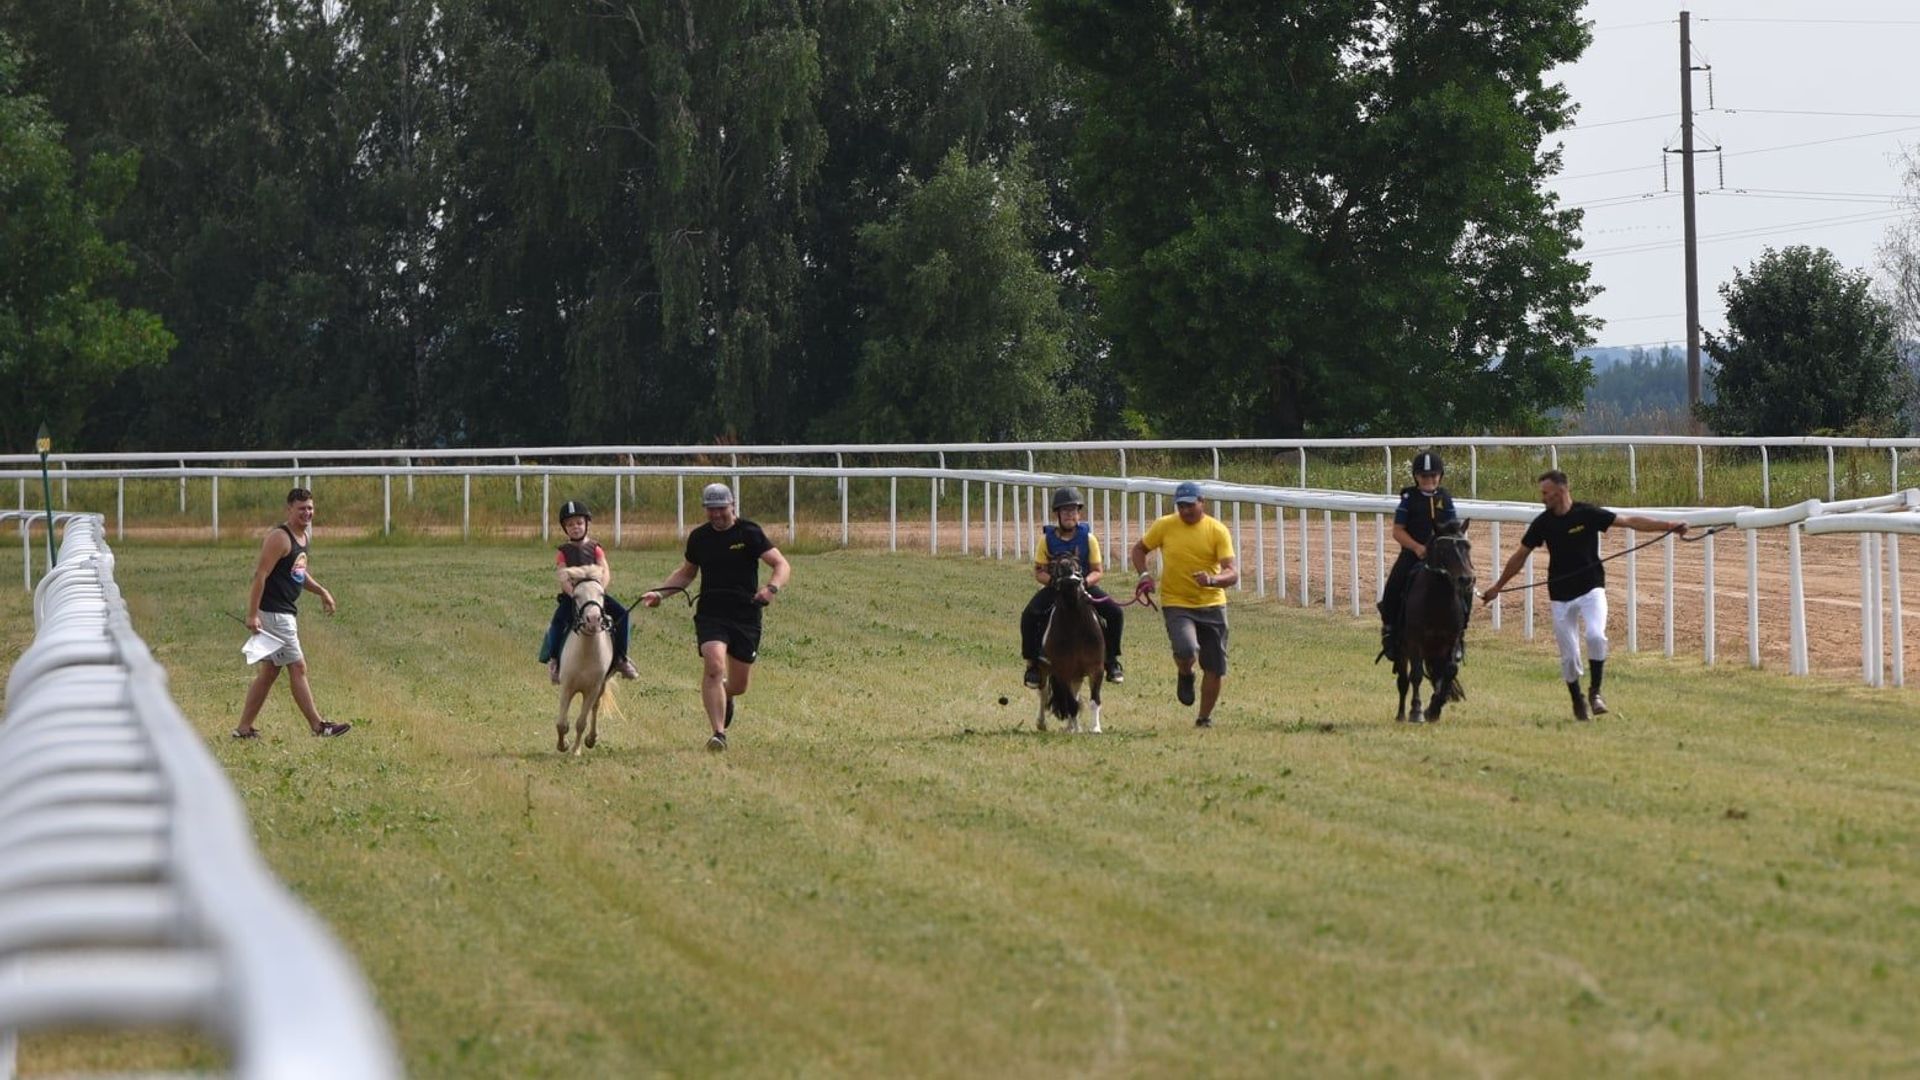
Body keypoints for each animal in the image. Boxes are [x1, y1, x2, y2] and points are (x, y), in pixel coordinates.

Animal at [556, 568, 614, 753]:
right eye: (576, 596)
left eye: (601, 594)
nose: (593, 619)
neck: (586, 654)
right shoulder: (567, 687)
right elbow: (562, 724)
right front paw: (563, 745)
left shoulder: (592, 690)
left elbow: (581, 723)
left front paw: (575, 750)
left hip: (601, 687)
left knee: (595, 708)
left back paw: (591, 739)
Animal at [1044, 553, 1105, 730]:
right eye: (1055, 567)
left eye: (1079, 567)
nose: (1072, 581)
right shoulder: (1062, 672)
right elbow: (1071, 704)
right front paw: (1076, 730)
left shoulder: (1096, 668)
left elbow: (1094, 700)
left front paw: (1096, 728)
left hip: (1077, 675)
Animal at [1390, 522, 1474, 722]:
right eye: (1443, 549)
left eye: (1467, 546)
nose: (1466, 579)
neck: (1438, 601)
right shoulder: (1415, 642)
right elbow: (1416, 675)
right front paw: (1417, 711)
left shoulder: (1451, 641)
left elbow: (1450, 670)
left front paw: (1434, 708)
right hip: (1402, 650)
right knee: (1403, 681)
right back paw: (1401, 715)